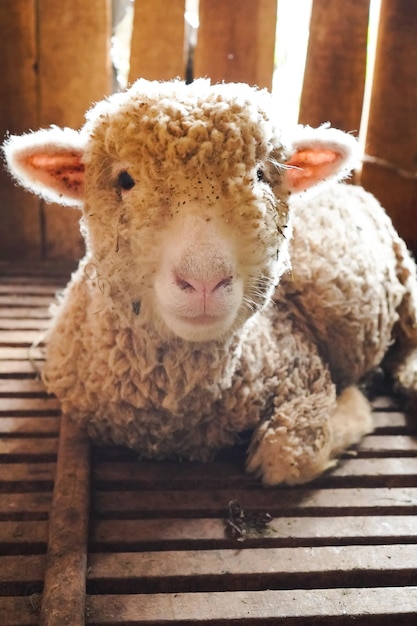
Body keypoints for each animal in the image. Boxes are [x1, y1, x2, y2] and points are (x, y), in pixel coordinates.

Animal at [3, 78, 416, 486]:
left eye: (261, 176)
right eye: (125, 180)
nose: (204, 281)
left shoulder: (302, 364)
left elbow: (286, 455)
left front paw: (355, 403)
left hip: (404, 273)